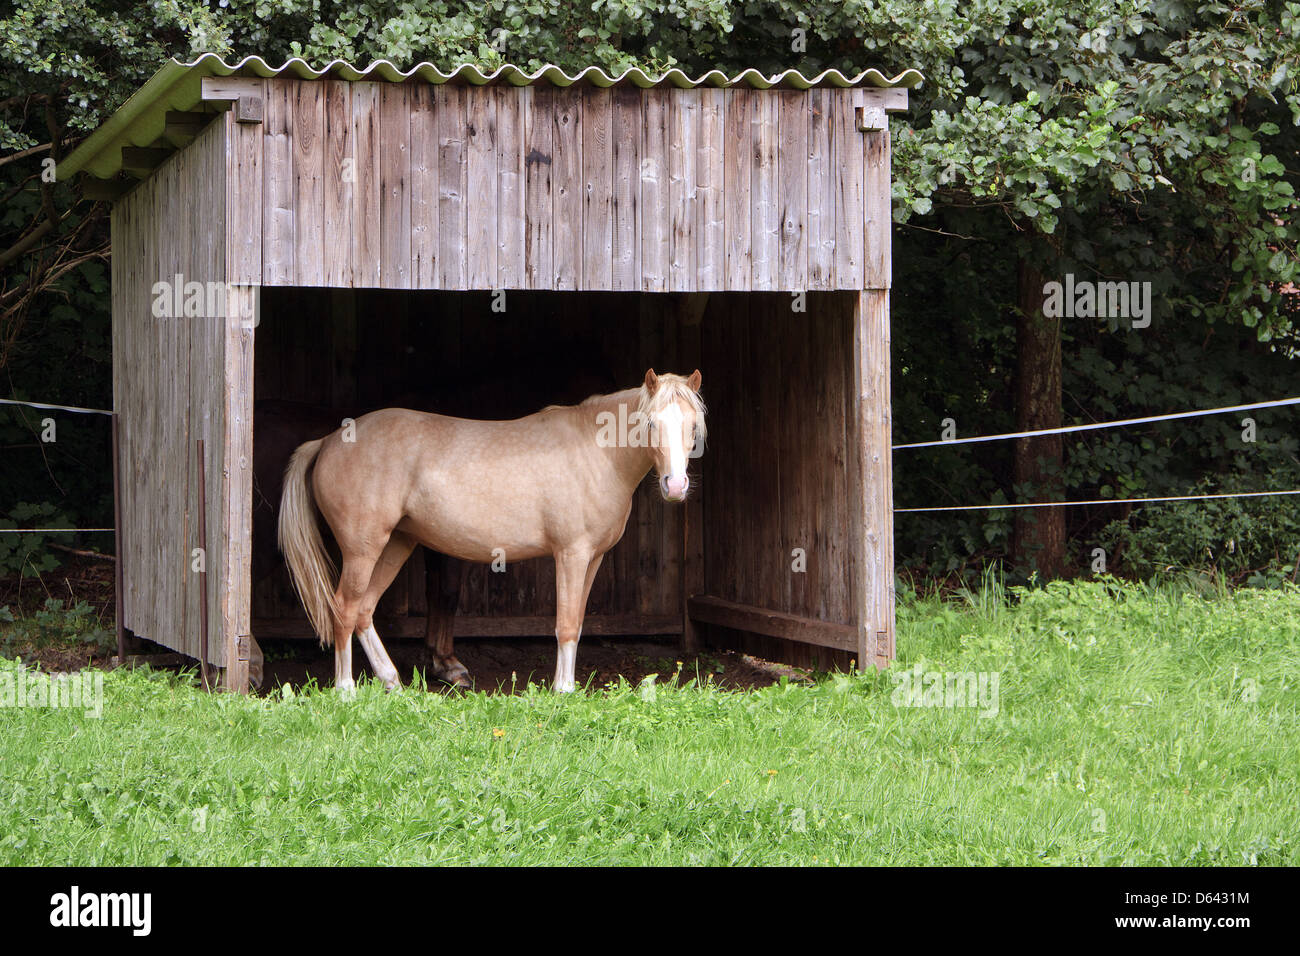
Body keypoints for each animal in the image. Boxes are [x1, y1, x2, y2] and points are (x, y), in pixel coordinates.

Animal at [273, 369, 702, 697]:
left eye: (693, 425)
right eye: (651, 423)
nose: (676, 486)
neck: (594, 453)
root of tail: (329, 441)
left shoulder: (592, 558)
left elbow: (577, 622)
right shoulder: (571, 554)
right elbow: (565, 624)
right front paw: (562, 691)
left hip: (397, 543)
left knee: (363, 610)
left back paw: (392, 681)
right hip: (363, 549)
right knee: (344, 608)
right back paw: (346, 689)